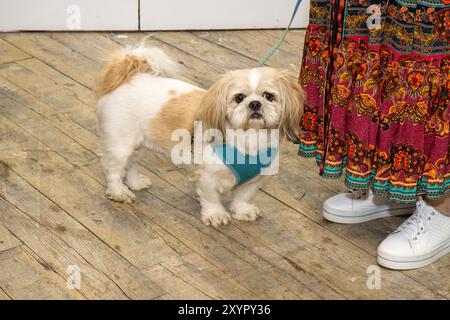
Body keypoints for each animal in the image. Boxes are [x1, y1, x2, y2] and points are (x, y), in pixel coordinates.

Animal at [95, 44, 306, 228]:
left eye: (269, 96)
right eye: (239, 98)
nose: (255, 103)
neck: (249, 139)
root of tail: (129, 77)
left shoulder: (255, 179)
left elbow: (243, 196)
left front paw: (242, 211)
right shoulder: (207, 175)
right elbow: (212, 198)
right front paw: (216, 215)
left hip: (138, 143)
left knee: (132, 163)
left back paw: (135, 182)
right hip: (121, 145)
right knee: (113, 169)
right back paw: (119, 192)